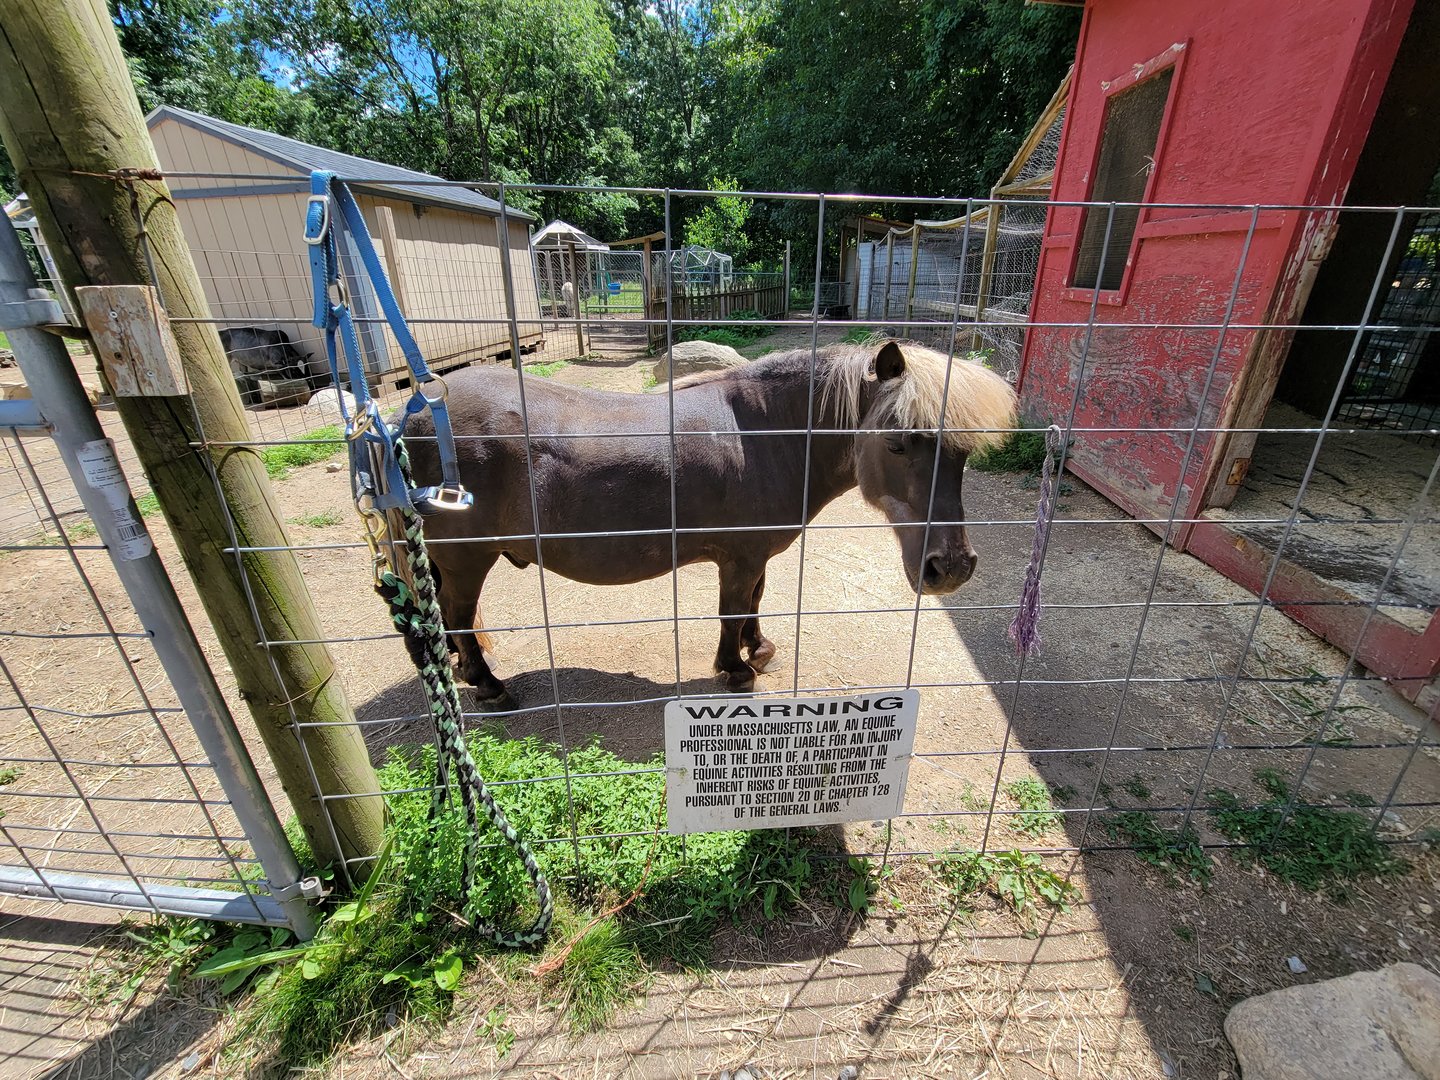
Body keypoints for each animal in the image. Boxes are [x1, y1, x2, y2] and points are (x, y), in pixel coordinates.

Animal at [404, 339, 1017, 710]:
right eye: (896, 443)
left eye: (963, 454)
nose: (951, 567)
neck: (765, 433)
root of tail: (411, 417)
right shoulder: (738, 557)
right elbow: (732, 610)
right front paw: (736, 668)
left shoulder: (754, 556)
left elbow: (753, 604)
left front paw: (758, 648)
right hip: (467, 558)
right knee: (458, 614)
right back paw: (488, 685)